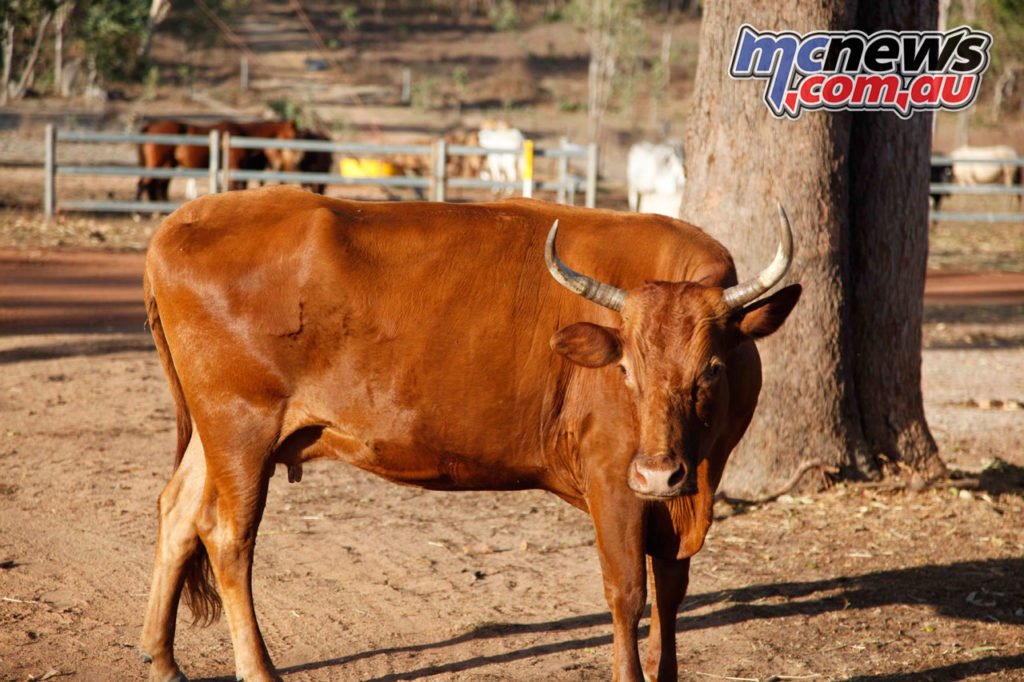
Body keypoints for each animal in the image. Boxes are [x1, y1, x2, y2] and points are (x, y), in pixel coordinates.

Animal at [142, 183, 798, 675]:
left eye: (711, 368)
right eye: (626, 369)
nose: (661, 471)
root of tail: (183, 221)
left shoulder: (685, 491)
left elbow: (671, 592)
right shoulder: (615, 475)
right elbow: (627, 591)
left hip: (215, 433)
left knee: (178, 512)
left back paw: (163, 658)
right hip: (241, 427)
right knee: (229, 538)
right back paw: (257, 668)